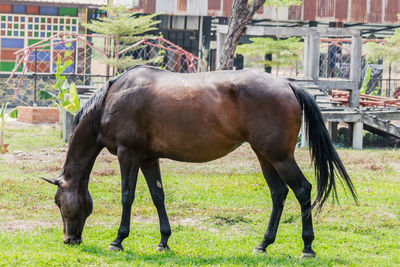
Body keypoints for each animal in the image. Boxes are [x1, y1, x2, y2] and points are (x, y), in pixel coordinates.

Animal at [43, 63, 356, 258]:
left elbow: (127, 196)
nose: (70, 240)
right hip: (265, 156)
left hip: (279, 157)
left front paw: (118, 240)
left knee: (302, 190)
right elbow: (158, 196)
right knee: (278, 194)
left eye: (58, 202)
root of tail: (288, 85)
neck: (112, 98)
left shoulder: (128, 154)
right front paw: (164, 241)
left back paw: (307, 248)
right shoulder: (148, 158)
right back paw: (263, 245)